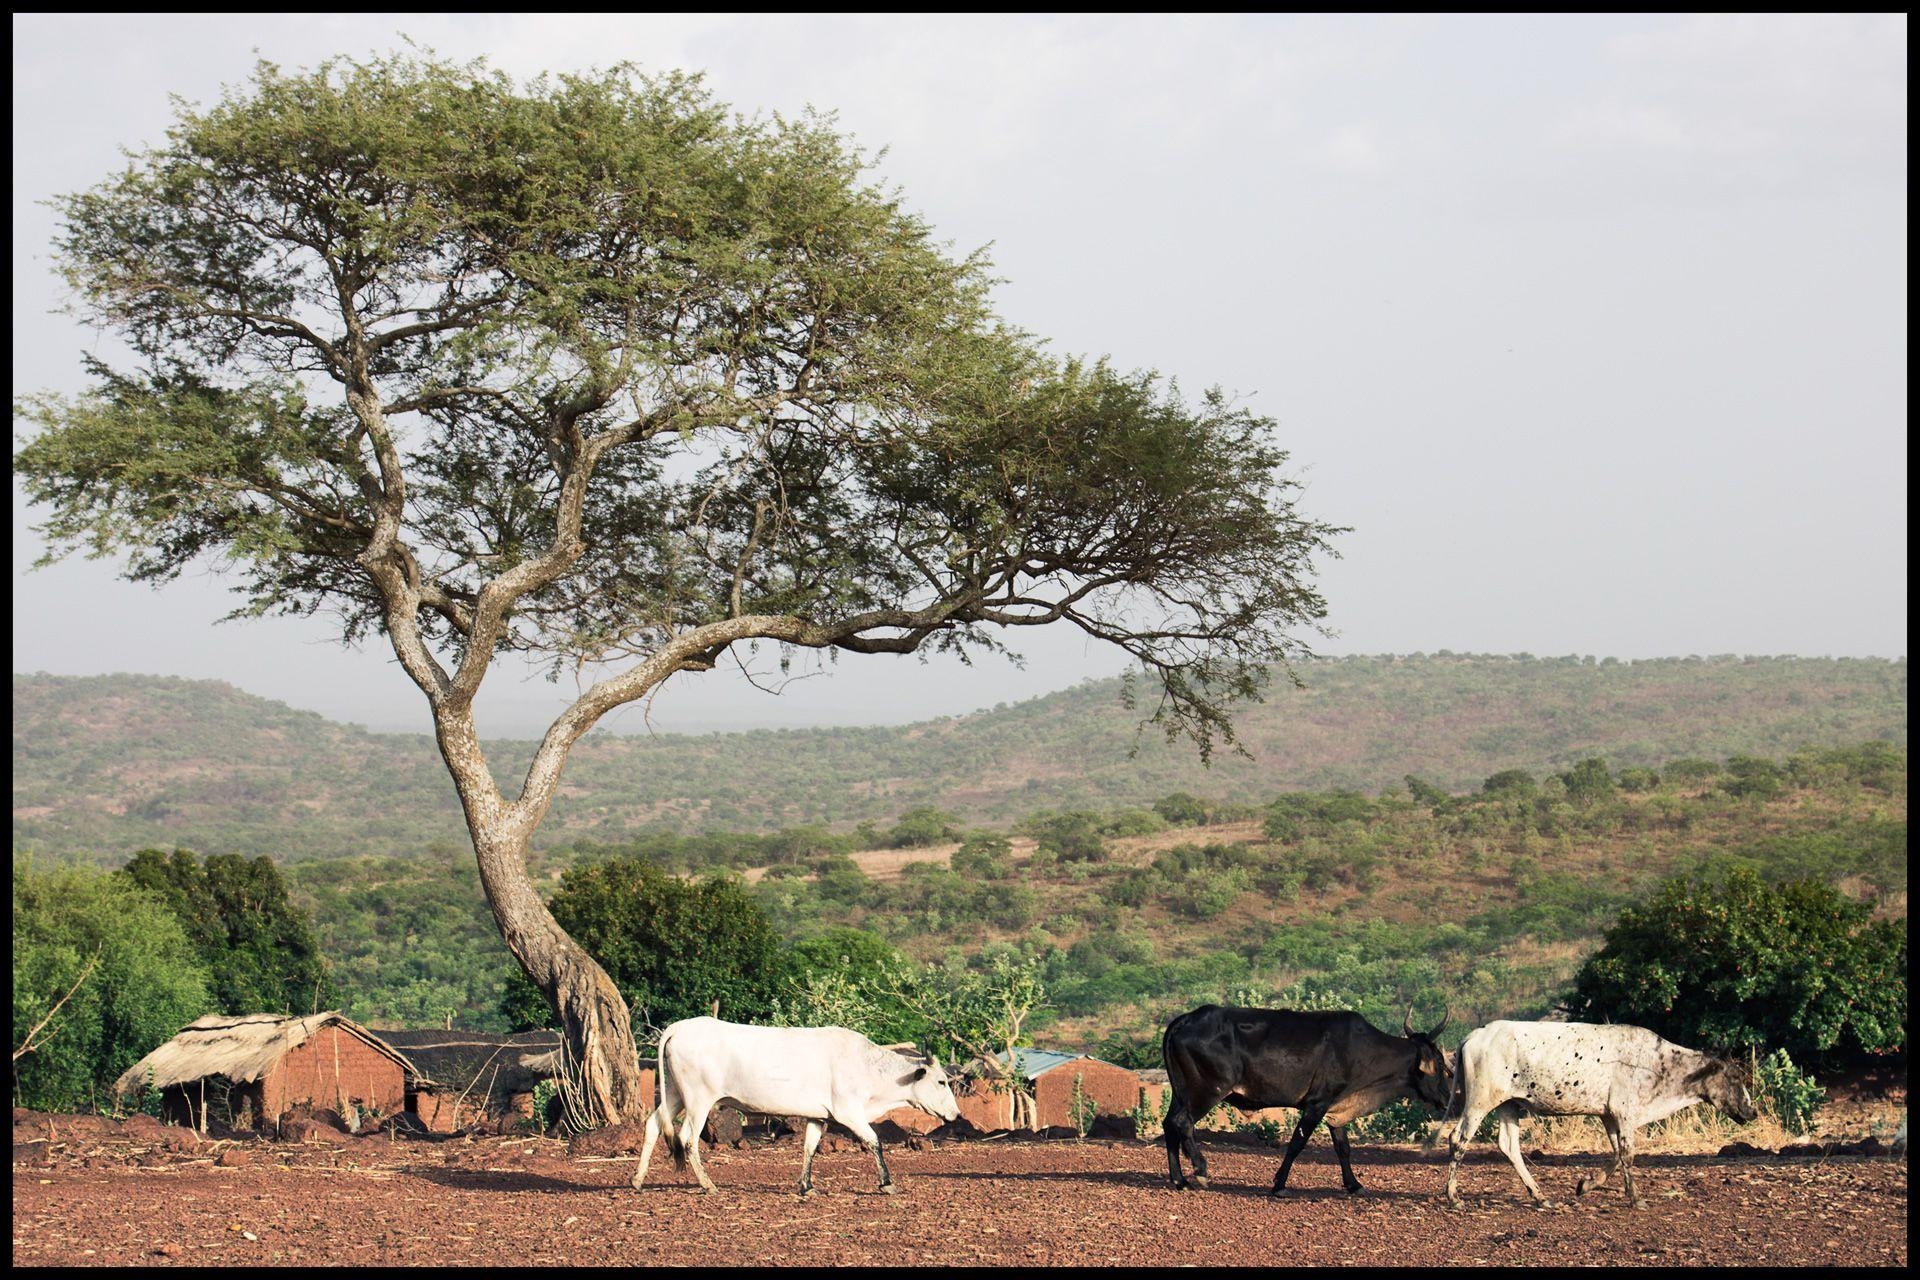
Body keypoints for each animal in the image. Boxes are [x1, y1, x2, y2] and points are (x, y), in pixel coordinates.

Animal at [629, 1013, 960, 1197]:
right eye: (942, 1081)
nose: (956, 1114)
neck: (867, 1065)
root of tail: (678, 1028)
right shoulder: (849, 1113)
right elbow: (874, 1142)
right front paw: (887, 1183)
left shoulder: (819, 1117)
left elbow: (809, 1148)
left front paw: (807, 1186)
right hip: (699, 1100)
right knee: (687, 1139)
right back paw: (708, 1185)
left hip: (674, 1093)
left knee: (653, 1124)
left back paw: (637, 1180)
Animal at [1152, 1005, 1451, 1197]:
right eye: (1440, 1064)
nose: (1447, 1099)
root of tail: (1184, 1019)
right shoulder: (1317, 1104)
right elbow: (1297, 1143)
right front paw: (1279, 1184)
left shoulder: (1335, 1108)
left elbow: (1343, 1148)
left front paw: (1354, 1184)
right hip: (1208, 1090)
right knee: (1183, 1123)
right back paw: (1200, 1170)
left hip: (1182, 1092)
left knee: (1169, 1124)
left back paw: (1179, 1180)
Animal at [1443, 1020, 1758, 1212]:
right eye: (1734, 1076)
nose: (1751, 1111)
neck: (1661, 1065)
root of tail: (1474, 1035)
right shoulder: (1625, 1111)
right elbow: (1628, 1154)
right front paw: (1636, 1198)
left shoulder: (1610, 1115)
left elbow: (1617, 1154)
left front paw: (1586, 1185)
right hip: (1480, 1100)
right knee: (1458, 1139)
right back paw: (1453, 1196)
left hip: (1509, 1104)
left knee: (1509, 1146)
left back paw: (1540, 1196)